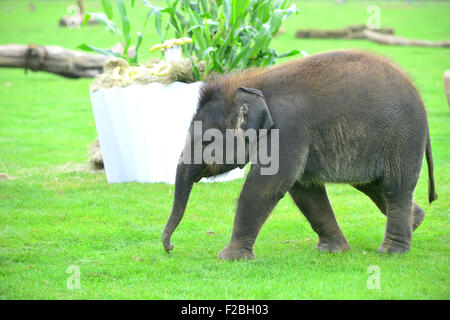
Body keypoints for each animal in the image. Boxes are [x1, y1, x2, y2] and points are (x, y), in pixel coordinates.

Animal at [163, 50, 436, 260]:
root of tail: (419, 97)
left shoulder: (287, 128)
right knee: (371, 185)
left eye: (207, 141)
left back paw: (391, 252)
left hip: (403, 138)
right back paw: (417, 220)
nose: (171, 247)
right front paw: (333, 250)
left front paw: (229, 257)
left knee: (394, 188)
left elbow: (267, 185)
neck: (253, 83)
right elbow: (305, 189)